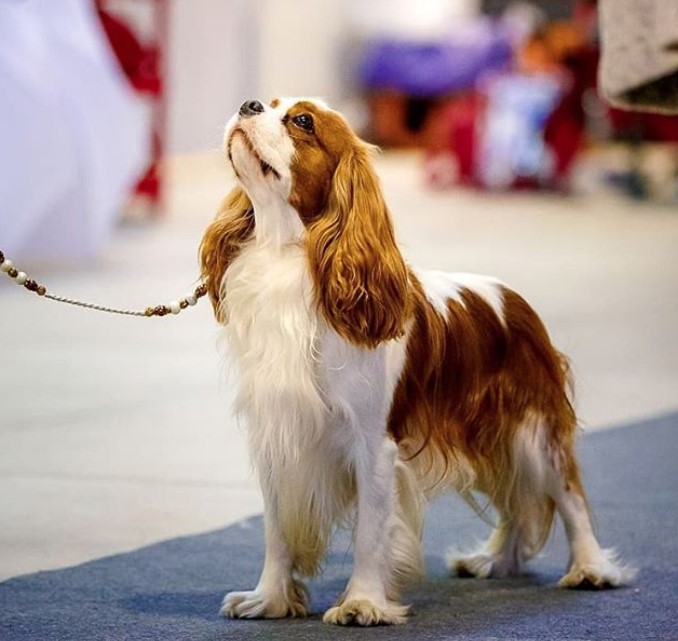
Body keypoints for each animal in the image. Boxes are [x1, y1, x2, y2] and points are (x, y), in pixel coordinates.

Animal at [198, 97, 636, 624]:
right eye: (268, 103)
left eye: (302, 121)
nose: (249, 104)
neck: (285, 257)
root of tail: (512, 299)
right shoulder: (279, 435)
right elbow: (276, 530)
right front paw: (270, 598)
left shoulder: (374, 444)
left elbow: (371, 532)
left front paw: (363, 602)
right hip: (491, 438)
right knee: (516, 502)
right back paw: (495, 560)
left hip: (530, 431)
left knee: (569, 495)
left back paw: (591, 568)